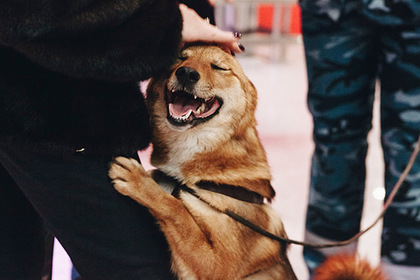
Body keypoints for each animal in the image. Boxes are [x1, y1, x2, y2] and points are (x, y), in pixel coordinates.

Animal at [109, 44, 298, 278]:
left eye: (219, 67)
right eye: (180, 58)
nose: (187, 73)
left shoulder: (215, 265)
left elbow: (178, 211)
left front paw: (138, 180)